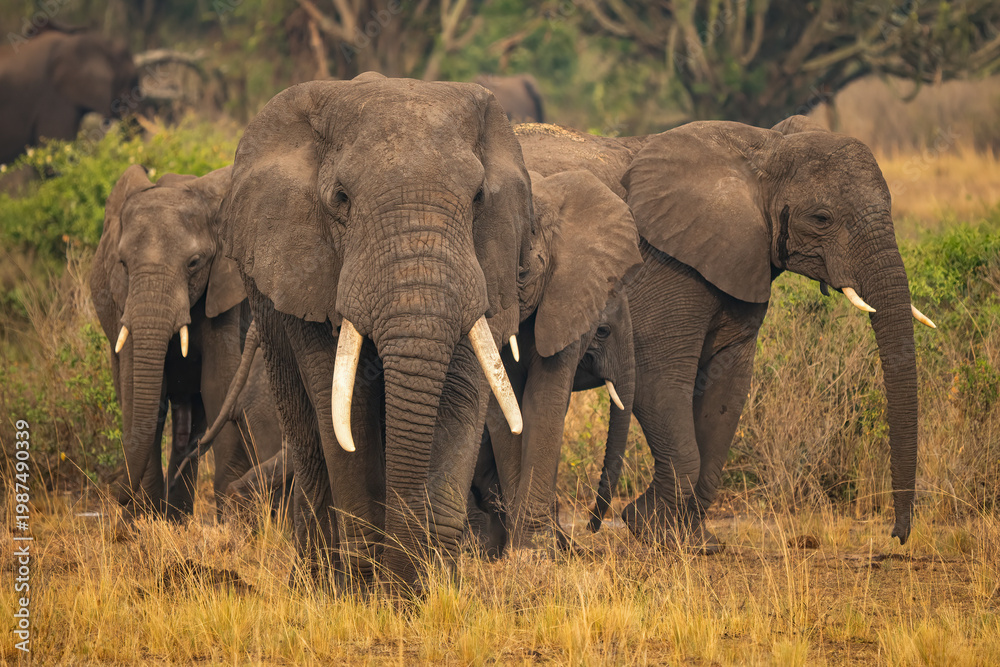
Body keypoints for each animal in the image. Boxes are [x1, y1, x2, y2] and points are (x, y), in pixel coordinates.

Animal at [90, 164, 284, 520]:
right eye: (122, 264)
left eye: (194, 263)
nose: (115, 491)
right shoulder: (124, 302)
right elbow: (137, 390)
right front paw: (145, 522)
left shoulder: (224, 291)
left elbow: (217, 384)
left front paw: (229, 523)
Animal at [467, 170, 641, 557]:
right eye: (603, 331)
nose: (593, 526)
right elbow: (506, 409)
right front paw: (528, 551)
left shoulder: (566, 300)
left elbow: (543, 401)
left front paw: (532, 550)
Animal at [516, 118, 935, 549]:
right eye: (822, 218)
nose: (897, 535)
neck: (764, 150)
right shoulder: (670, 266)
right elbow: (657, 378)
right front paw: (650, 528)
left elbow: (727, 393)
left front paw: (696, 540)